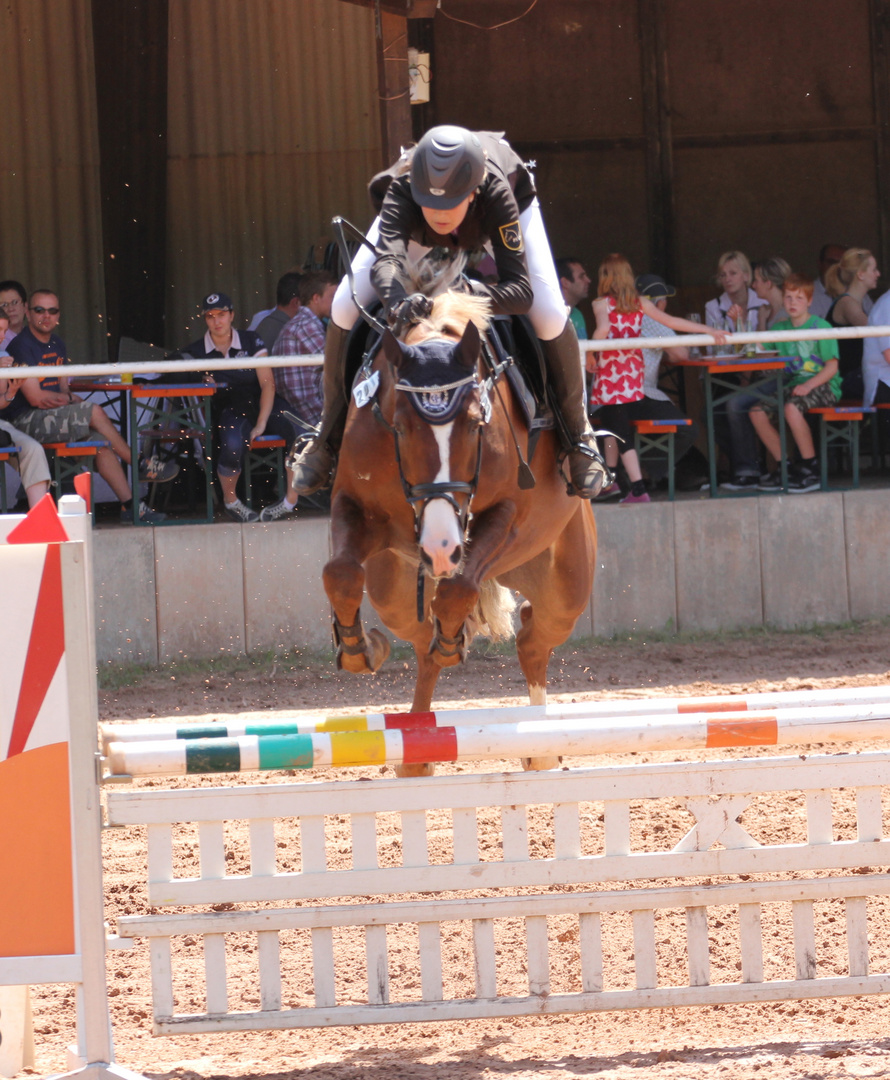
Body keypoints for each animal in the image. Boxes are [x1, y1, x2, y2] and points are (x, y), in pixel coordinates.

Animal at [321, 282, 596, 773]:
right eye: (400, 426)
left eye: (474, 424)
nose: (439, 548)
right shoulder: (352, 504)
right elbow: (341, 573)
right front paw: (360, 648)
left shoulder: (507, 514)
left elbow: (458, 588)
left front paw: (453, 638)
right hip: (394, 589)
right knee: (420, 638)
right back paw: (415, 751)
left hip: (566, 587)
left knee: (534, 636)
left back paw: (540, 750)